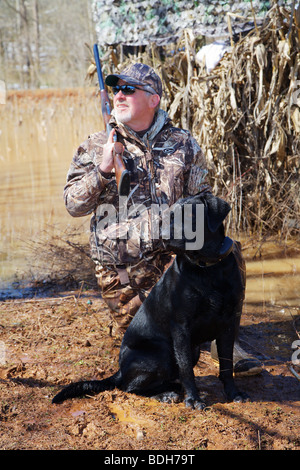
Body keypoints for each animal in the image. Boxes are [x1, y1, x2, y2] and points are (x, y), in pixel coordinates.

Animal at [53, 193, 248, 410]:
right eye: (169, 216)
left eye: (189, 214)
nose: (161, 236)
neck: (207, 268)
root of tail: (120, 370)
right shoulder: (181, 327)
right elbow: (187, 370)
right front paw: (194, 399)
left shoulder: (229, 322)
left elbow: (226, 363)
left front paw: (233, 393)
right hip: (160, 353)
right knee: (129, 387)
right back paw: (165, 395)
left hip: (192, 349)